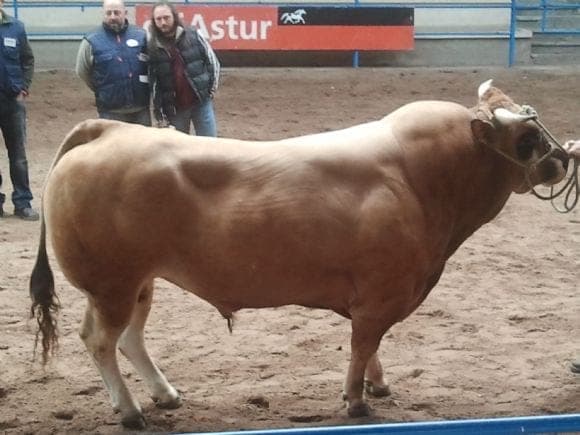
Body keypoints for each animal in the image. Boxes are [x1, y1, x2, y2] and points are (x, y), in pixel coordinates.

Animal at [29, 81, 568, 430]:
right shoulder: (380, 295)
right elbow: (362, 345)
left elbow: (371, 347)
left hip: (138, 282)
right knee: (100, 340)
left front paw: (376, 385)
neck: (419, 178)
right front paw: (356, 401)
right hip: (112, 285)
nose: (564, 159)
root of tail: (110, 130)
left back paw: (165, 396)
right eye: (526, 139)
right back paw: (131, 411)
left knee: (130, 339)